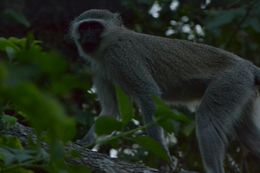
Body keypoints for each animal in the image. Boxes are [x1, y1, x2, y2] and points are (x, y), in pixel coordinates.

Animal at [69, 9, 260, 173]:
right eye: (84, 28)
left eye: (95, 27)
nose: (87, 37)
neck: (110, 43)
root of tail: (248, 66)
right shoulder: (99, 70)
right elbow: (110, 110)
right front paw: (84, 143)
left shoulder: (121, 56)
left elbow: (148, 93)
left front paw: (162, 157)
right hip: (241, 87)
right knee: (247, 135)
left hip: (231, 81)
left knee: (207, 118)